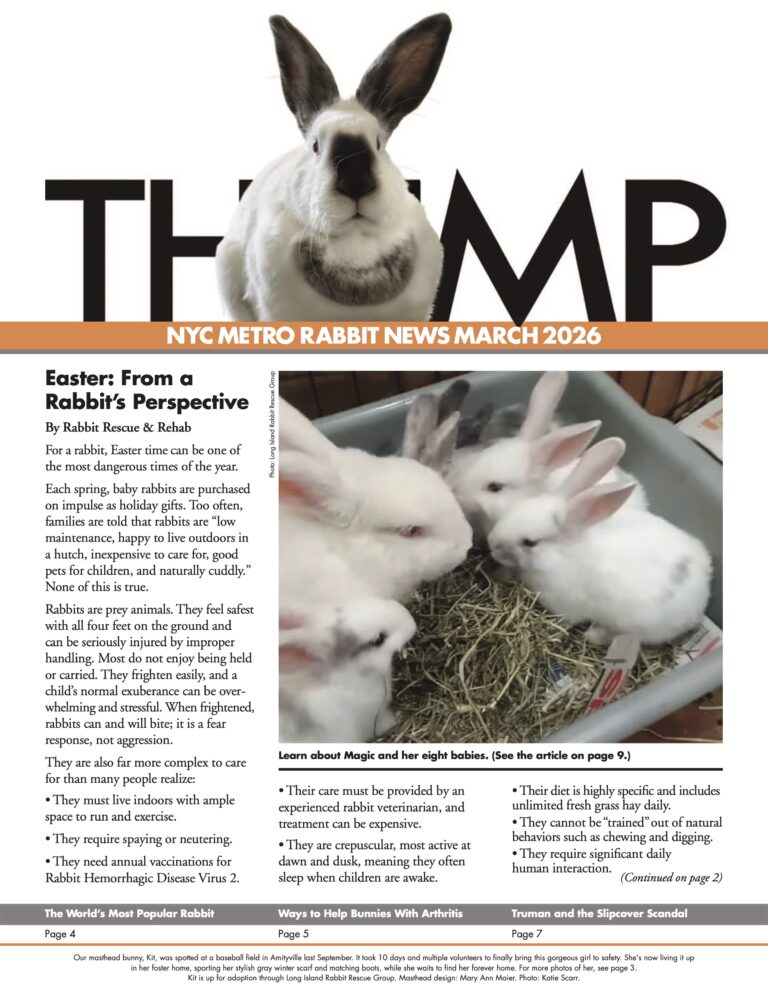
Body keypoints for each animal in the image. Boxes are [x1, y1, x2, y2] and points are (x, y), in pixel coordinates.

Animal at [486, 438, 713, 646]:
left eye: (530, 542)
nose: (491, 543)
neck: (562, 557)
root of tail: (704, 585)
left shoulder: (567, 606)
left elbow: (566, 621)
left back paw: (593, 635)